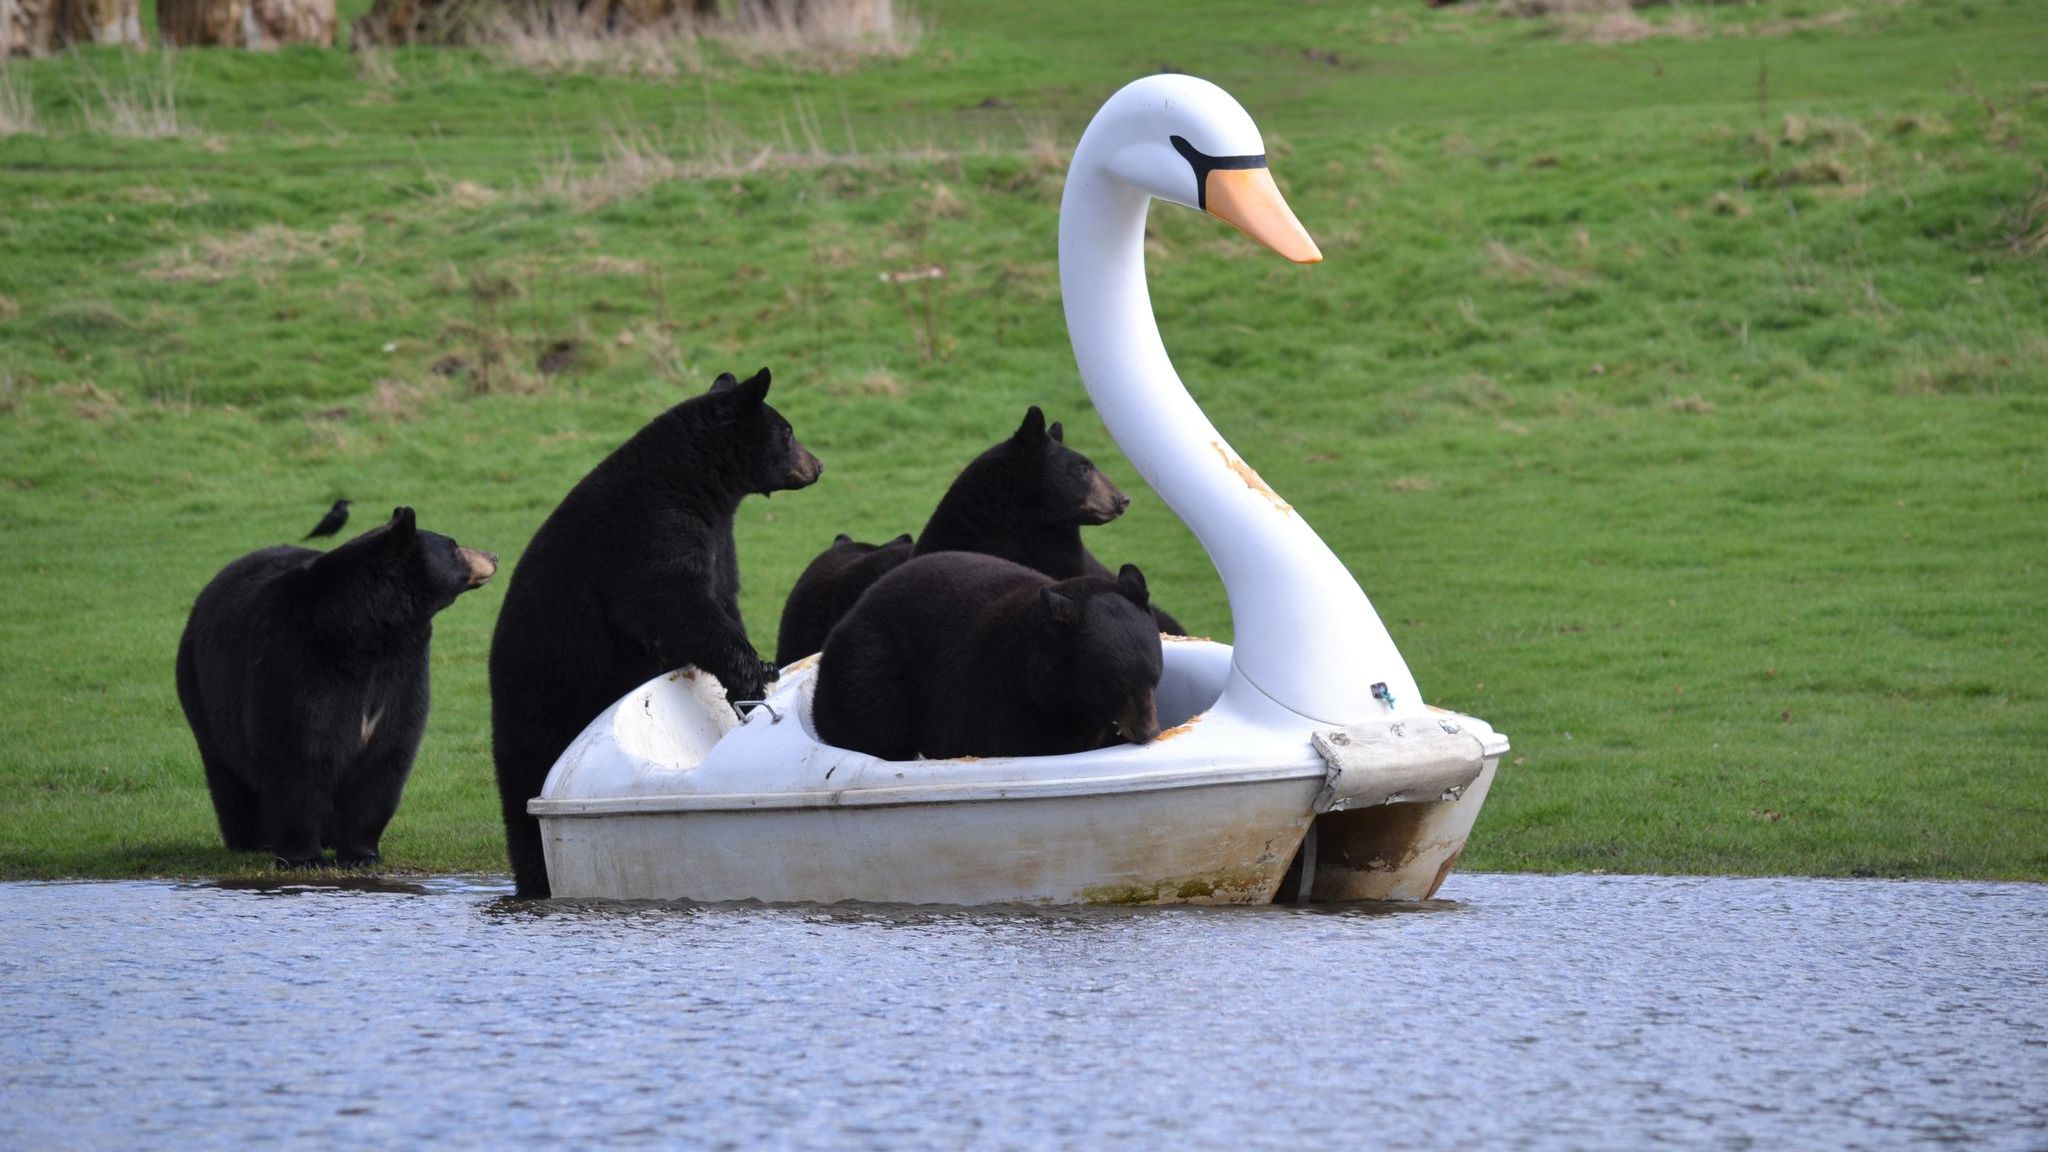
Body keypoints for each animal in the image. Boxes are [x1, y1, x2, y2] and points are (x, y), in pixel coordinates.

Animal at [174, 502, 497, 860]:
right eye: (453, 546)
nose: (494, 556)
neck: (369, 631)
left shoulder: (403, 671)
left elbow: (387, 754)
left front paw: (361, 852)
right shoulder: (298, 661)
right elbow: (297, 753)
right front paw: (303, 856)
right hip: (199, 686)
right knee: (226, 772)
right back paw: (250, 840)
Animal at [491, 366, 819, 897]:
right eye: (787, 431)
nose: (818, 464)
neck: (697, 483)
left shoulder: (719, 540)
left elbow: (722, 597)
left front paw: (762, 664)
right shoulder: (651, 532)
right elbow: (676, 604)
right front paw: (751, 677)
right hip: (542, 701)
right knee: (523, 796)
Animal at [815, 549, 1171, 758]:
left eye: (1155, 678)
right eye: (1116, 686)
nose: (1148, 733)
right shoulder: (998, 696)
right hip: (869, 665)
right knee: (873, 724)